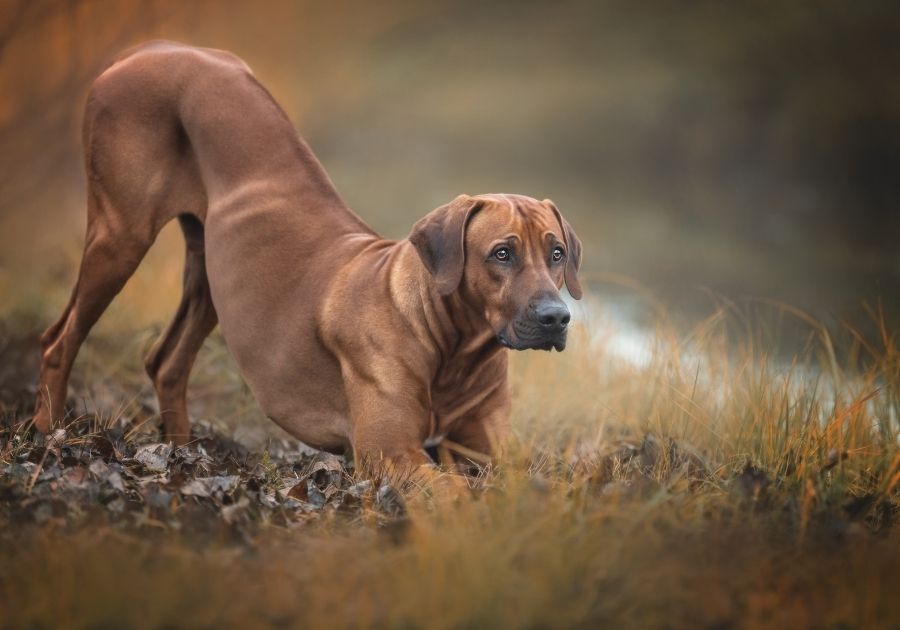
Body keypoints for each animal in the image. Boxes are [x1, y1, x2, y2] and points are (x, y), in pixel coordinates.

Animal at [31, 40, 584, 474]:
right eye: (502, 253)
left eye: (557, 253)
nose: (557, 318)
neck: (454, 348)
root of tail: (149, 49)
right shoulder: (391, 454)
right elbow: (449, 495)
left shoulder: (488, 453)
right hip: (120, 235)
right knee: (59, 340)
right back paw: (46, 436)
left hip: (216, 275)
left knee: (166, 361)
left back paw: (181, 453)